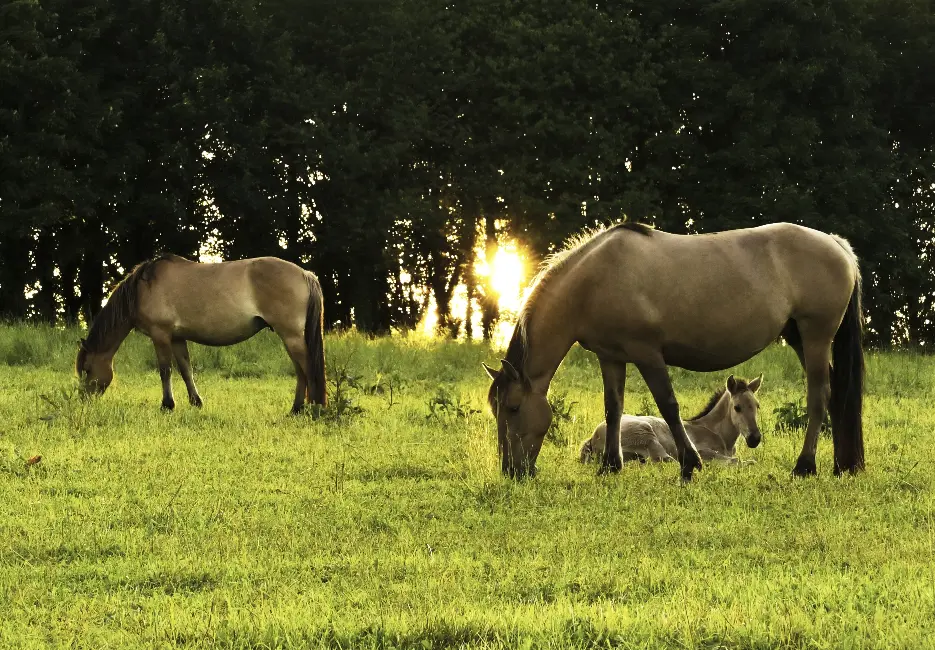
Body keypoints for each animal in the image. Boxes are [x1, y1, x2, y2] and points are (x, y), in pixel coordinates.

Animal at [76, 254, 327, 414]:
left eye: (87, 370)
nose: (83, 400)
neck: (143, 289)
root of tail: (305, 274)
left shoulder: (160, 335)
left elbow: (165, 371)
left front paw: (167, 405)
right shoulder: (177, 338)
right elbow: (186, 370)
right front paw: (196, 402)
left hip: (290, 335)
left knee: (307, 366)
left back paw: (316, 408)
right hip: (289, 337)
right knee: (300, 369)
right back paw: (296, 409)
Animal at [579, 374, 763, 466]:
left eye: (757, 406)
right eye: (737, 407)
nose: (755, 439)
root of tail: (593, 437)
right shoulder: (702, 450)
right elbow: (738, 460)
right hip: (647, 435)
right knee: (666, 460)